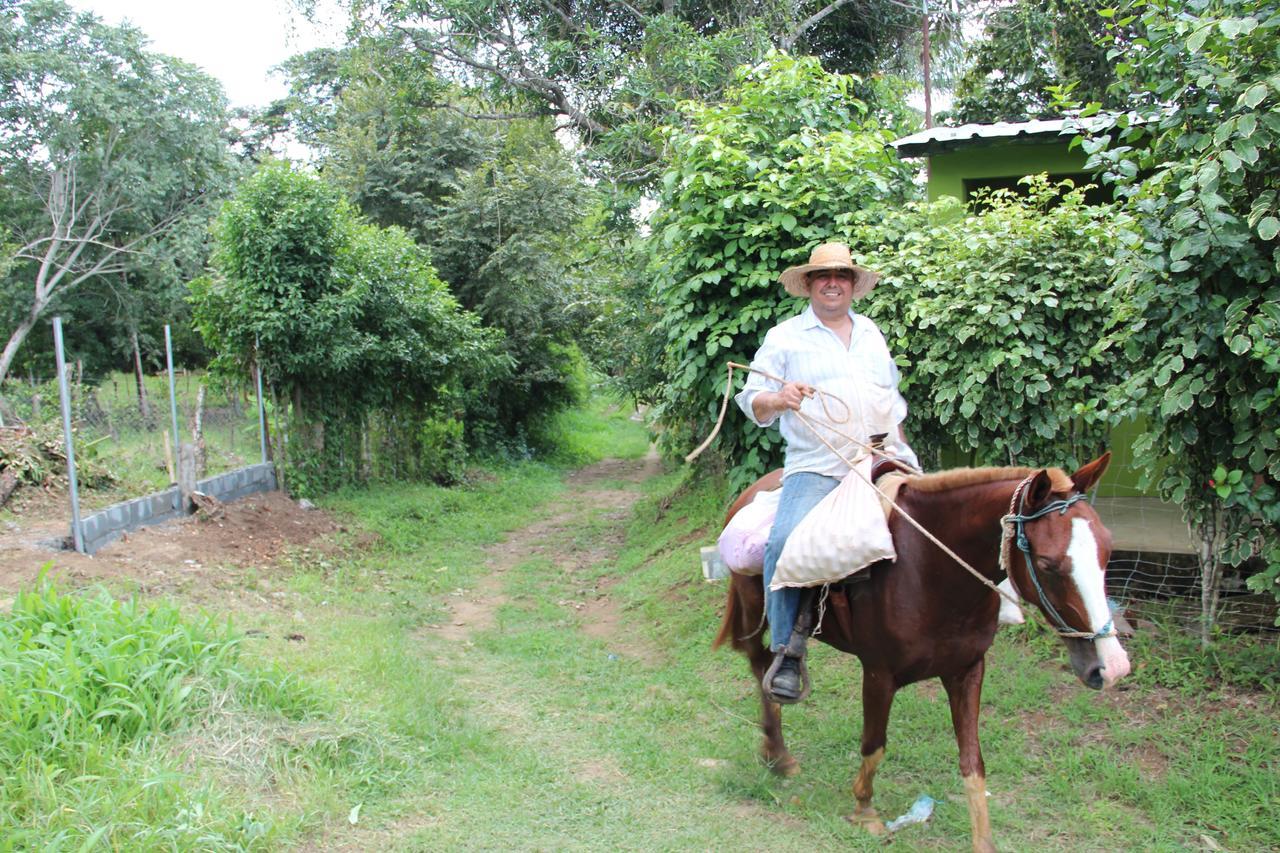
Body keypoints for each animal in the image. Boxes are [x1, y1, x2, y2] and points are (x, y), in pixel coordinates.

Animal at [721, 448, 1131, 845]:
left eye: (1107, 551)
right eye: (1047, 564)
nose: (1112, 666)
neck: (929, 568)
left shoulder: (968, 670)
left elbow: (972, 762)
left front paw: (983, 839)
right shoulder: (878, 673)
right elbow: (874, 744)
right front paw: (865, 812)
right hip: (755, 612)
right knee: (762, 665)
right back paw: (778, 754)